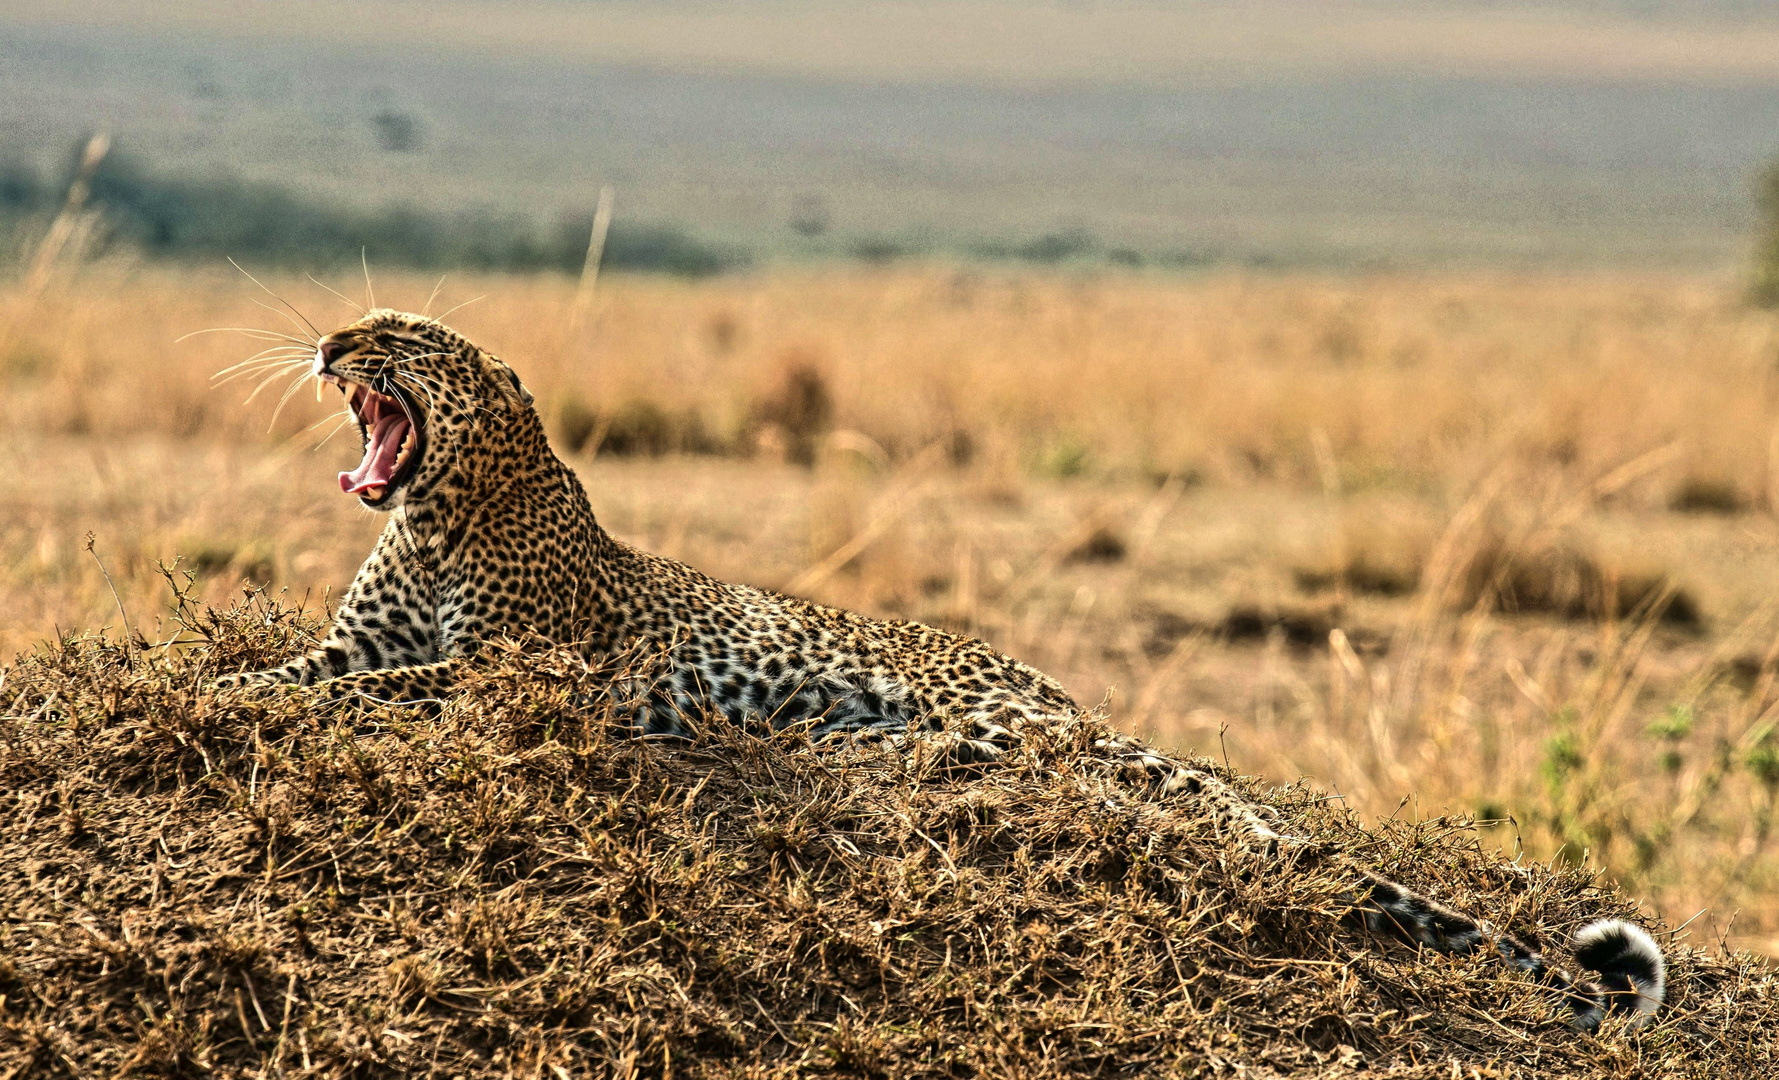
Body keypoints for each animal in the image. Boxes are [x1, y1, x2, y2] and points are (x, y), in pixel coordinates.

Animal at [211, 307, 1665, 1031]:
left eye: (399, 332)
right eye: (356, 327)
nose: (332, 347)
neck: (438, 507)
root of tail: (1062, 697)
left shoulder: (514, 669)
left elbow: (388, 691)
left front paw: (246, 697)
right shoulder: (363, 638)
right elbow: (304, 669)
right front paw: (225, 687)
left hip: (994, 728)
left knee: (1113, 797)